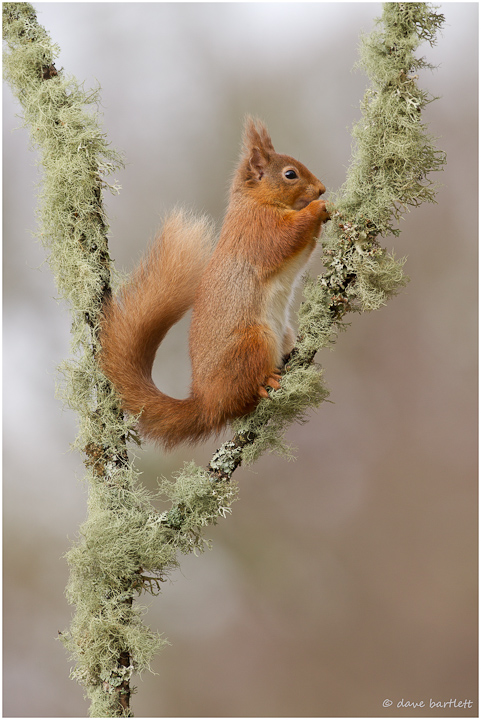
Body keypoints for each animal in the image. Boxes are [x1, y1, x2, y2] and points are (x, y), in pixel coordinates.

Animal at [99, 117, 330, 450]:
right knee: (241, 399)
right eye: (290, 174)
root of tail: (206, 403)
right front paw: (318, 208)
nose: (322, 188)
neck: (254, 201)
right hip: (253, 341)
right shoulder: (258, 230)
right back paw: (265, 383)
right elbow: (285, 238)